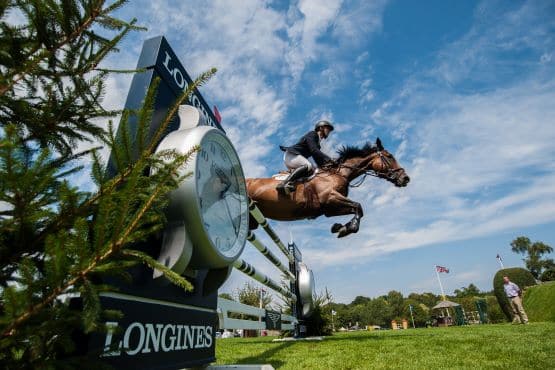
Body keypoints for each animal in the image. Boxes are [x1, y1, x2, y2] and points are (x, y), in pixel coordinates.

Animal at [245, 138, 410, 237]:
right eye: (389, 156)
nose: (405, 178)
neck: (339, 173)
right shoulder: (331, 198)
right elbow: (358, 206)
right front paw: (348, 229)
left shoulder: (329, 209)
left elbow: (357, 209)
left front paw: (340, 227)